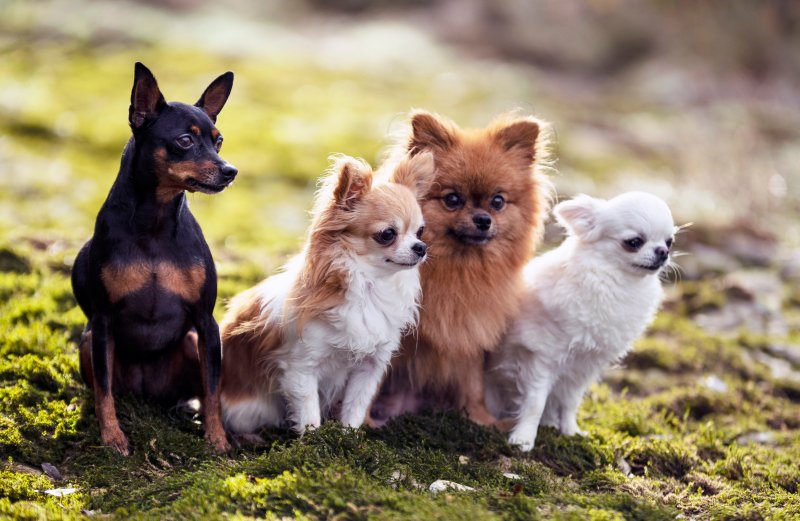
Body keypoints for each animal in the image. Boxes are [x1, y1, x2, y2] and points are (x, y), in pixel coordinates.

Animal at [72, 61, 236, 452]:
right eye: (185, 140)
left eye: (218, 141)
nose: (230, 171)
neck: (155, 223)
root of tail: (148, 393)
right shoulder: (102, 323)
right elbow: (103, 391)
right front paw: (112, 437)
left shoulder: (206, 323)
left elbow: (213, 389)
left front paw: (217, 439)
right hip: (88, 342)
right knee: (102, 389)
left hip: (191, 342)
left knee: (199, 389)